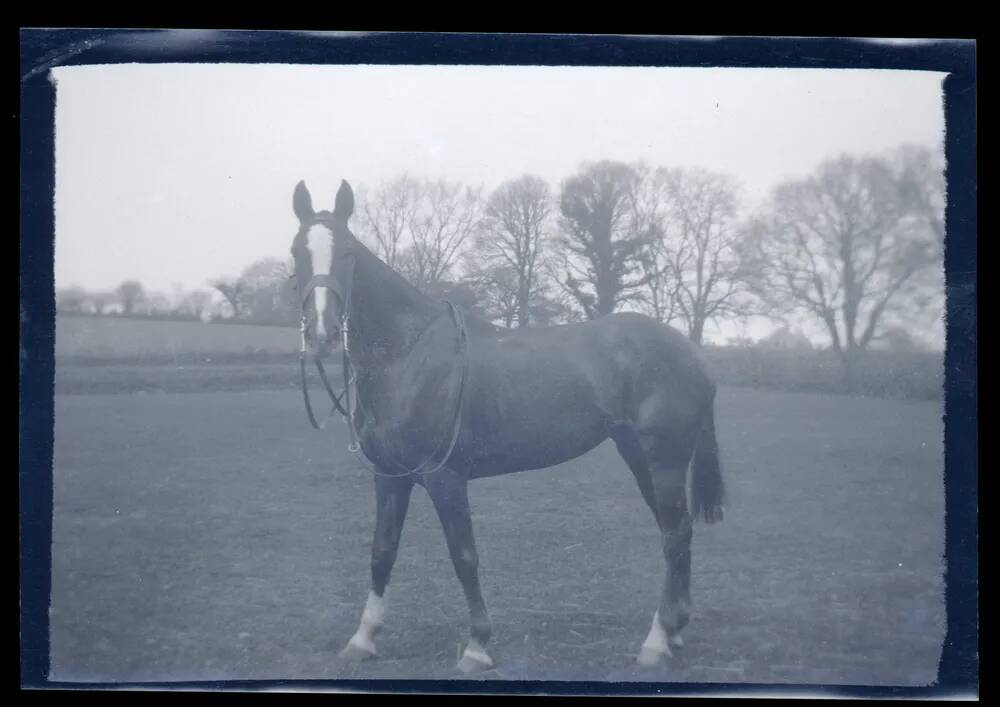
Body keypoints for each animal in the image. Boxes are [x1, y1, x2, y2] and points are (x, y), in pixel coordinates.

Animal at [290, 178, 728, 676]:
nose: (321, 334)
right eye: (296, 252)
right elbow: (382, 552)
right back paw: (673, 633)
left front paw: (477, 646)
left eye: (346, 252)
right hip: (639, 457)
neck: (408, 354)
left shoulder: (445, 479)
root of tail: (692, 351)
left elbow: (464, 556)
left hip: (665, 461)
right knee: (676, 532)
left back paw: (656, 640)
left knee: (674, 535)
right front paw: (363, 638)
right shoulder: (390, 478)